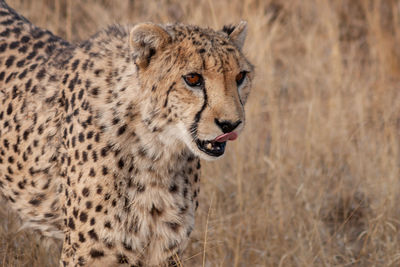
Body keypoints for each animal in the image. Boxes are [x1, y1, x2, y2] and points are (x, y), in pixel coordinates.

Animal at [0, 1, 253, 266]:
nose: (231, 124)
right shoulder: (87, 252)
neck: (156, 152)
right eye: (193, 78)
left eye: (240, 76)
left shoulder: (165, 249)